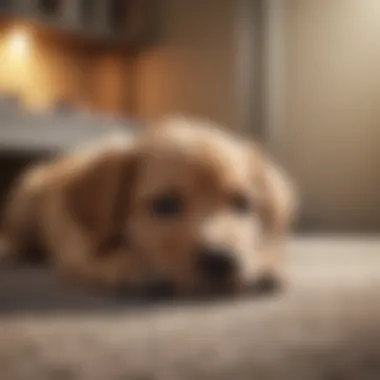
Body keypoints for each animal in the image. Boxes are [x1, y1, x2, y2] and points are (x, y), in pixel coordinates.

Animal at [0, 117, 296, 296]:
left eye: (243, 203)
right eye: (164, 204)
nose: (221, 260)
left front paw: (264, 261)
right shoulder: (77, 252)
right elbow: (103, 259)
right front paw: (131, 264)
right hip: (25, 201)